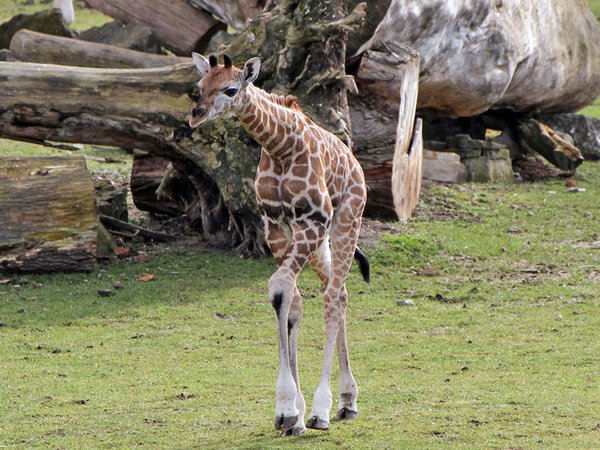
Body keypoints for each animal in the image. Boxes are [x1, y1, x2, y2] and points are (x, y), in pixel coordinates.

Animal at [188, 52, 368, 436]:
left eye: (230, 88)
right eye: (199, 86)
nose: (196, 115)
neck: (280, 146)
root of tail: (356, 165)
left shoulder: (313, 220)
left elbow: (281, 288)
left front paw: (293, 410)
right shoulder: (276, 227)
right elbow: (290, 301)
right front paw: (293, 416)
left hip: (345, 221)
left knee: (333, 297)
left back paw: (327, 408)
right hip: (318, 244)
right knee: (338, 291)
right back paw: (347, 401)